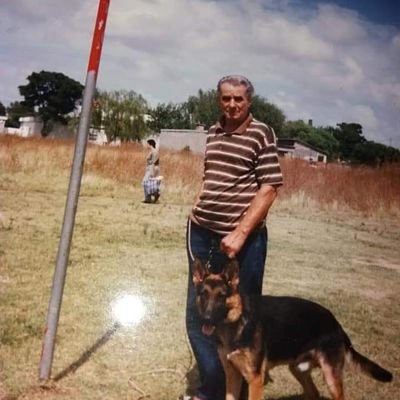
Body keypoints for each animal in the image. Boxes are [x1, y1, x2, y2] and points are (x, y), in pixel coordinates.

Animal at [191, 258, 394, 398]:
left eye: (221, 296)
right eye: (203, 294)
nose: (206, 319)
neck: (238, 321)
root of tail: (336, 323)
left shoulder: (255, 379)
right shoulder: (233, 375)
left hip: (331, 378)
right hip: (298, 369)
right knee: (313, 393)